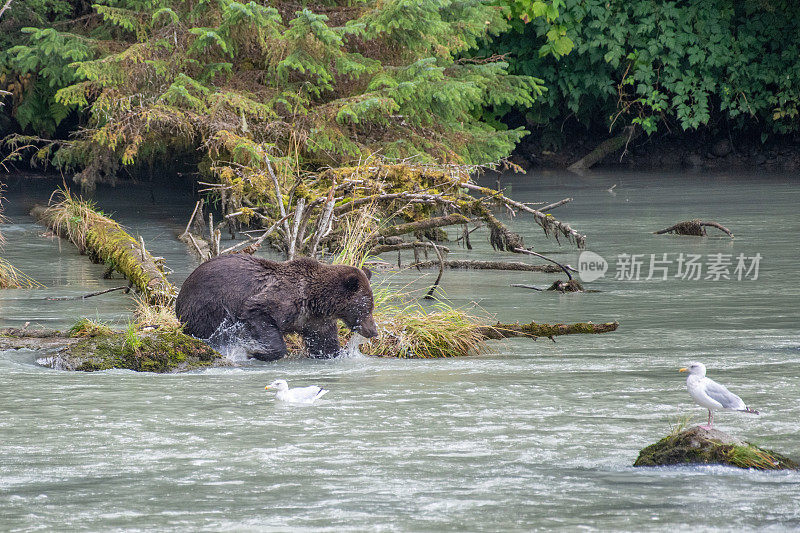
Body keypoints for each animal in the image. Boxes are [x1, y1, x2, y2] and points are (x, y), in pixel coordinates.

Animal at [175, 255, 378, 362]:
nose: (373, 331)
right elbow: (258, 313)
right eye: (366, 307)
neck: (314, 300)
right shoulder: (280, 300)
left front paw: (334, 353)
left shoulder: (315, 321)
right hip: (208, 306)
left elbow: (324, 343)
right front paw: (258, 352)